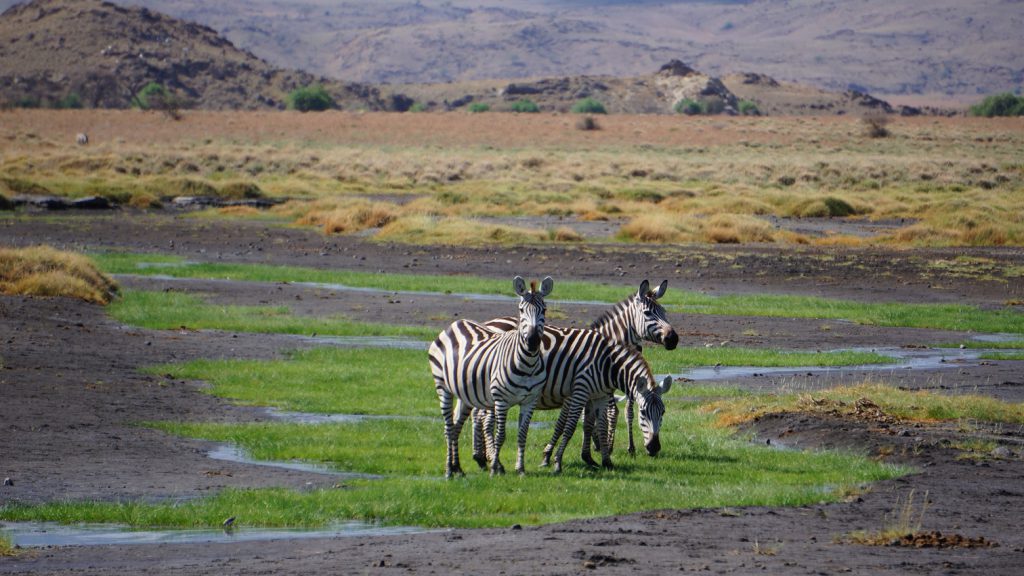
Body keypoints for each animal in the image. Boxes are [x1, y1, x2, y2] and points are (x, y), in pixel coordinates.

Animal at [428, 276, 553, 478]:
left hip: (465, 393)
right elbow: (500, 435)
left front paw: (520, 469)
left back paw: (457, 468)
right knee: (448, 427)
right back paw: (448, 470)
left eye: (544, 309)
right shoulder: (501, 400)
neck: (527, 364)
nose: (533, 341)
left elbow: (522, 435)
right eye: (521, 310)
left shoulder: (530, 400)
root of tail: (455, 324)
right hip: (442, 386)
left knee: (455, 426)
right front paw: (495, 468)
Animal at [474, 279, 678, 467]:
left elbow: (591, 421)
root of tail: (489, 323)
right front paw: (550, 455)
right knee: (485, 417)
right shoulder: (575, 392)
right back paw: (488, 457)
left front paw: (591, 453)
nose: (673, 339)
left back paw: (482, 456)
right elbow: (567, 422)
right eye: (648, 313)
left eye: (664, 312)